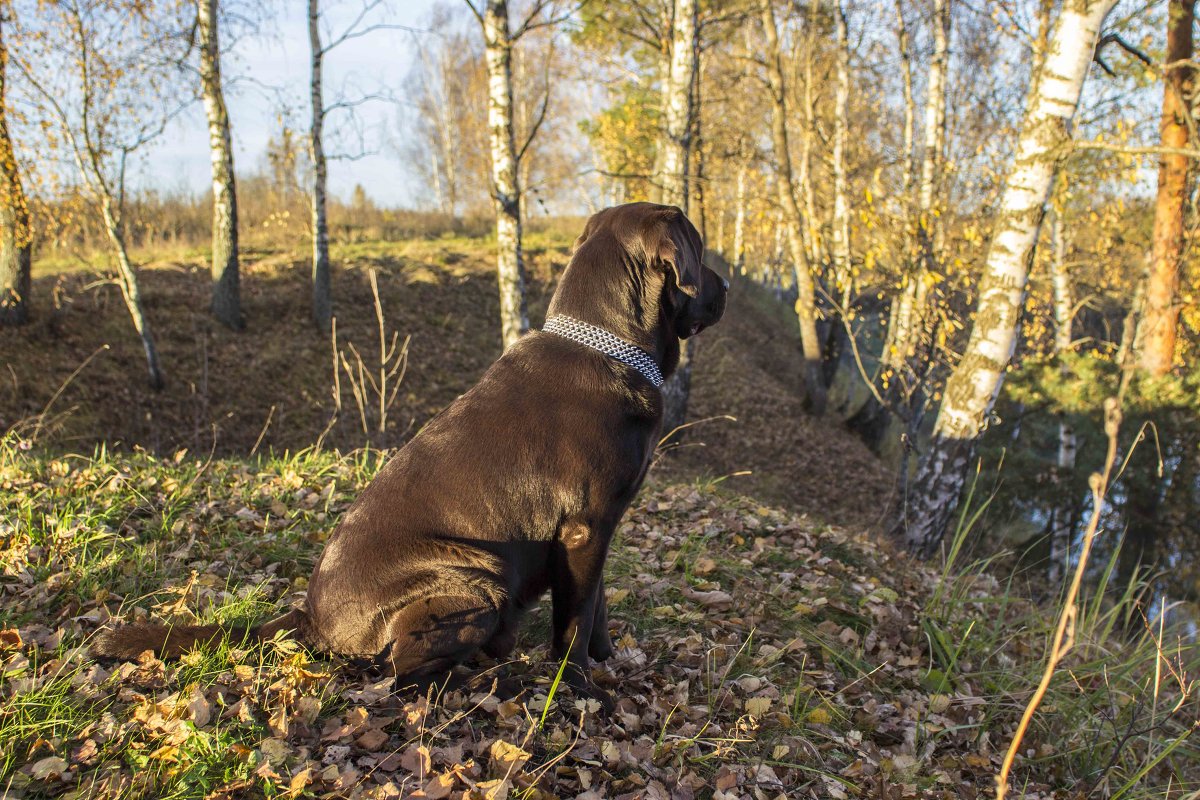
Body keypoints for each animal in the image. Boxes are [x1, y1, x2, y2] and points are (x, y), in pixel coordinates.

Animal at [93, 201, 724, 705]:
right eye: (698, 246)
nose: (726, 289)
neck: (607, 346)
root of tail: (310, 619)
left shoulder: (600, 529)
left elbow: (597, 608)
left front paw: (608, 658)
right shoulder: (582, 529)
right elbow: (572, 623)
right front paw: (580, 687)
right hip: (475, 579)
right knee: (406, 677)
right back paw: (493, 683)